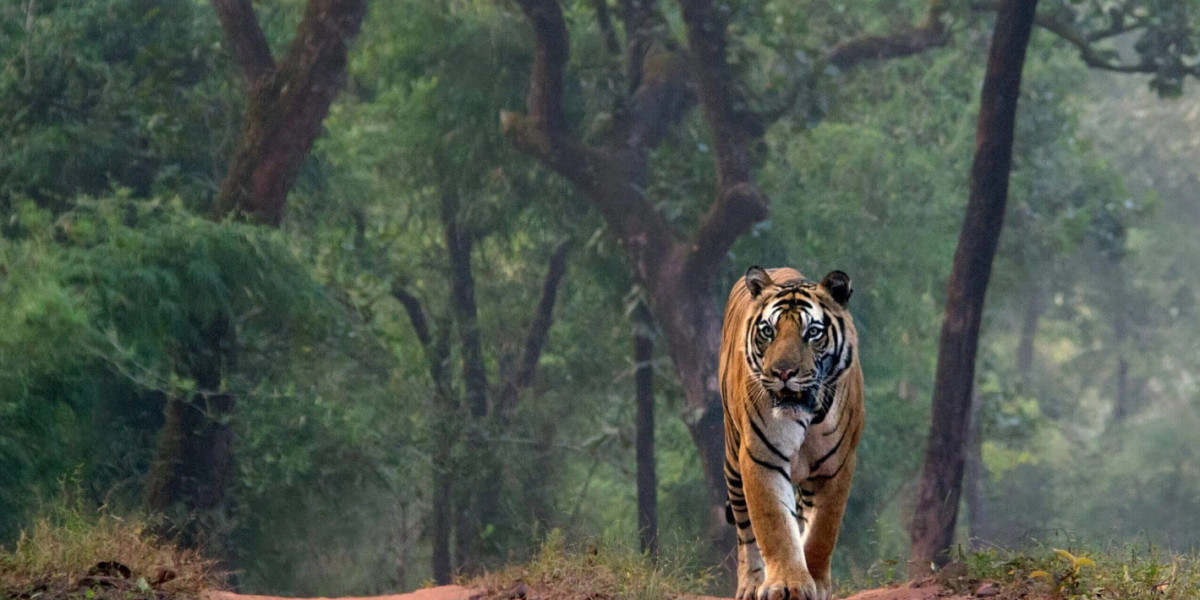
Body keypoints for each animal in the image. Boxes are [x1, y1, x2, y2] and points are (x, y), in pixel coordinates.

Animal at [719, 266, 864, 600]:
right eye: (767, 332)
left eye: (812, 332)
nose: (783, 372)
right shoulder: (762, 458)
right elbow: (774, 525)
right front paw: (786, 584)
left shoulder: (836, 467)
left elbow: (822, 531)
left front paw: (817, 584)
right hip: (733, 460)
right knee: (746, 531)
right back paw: (751, 584)